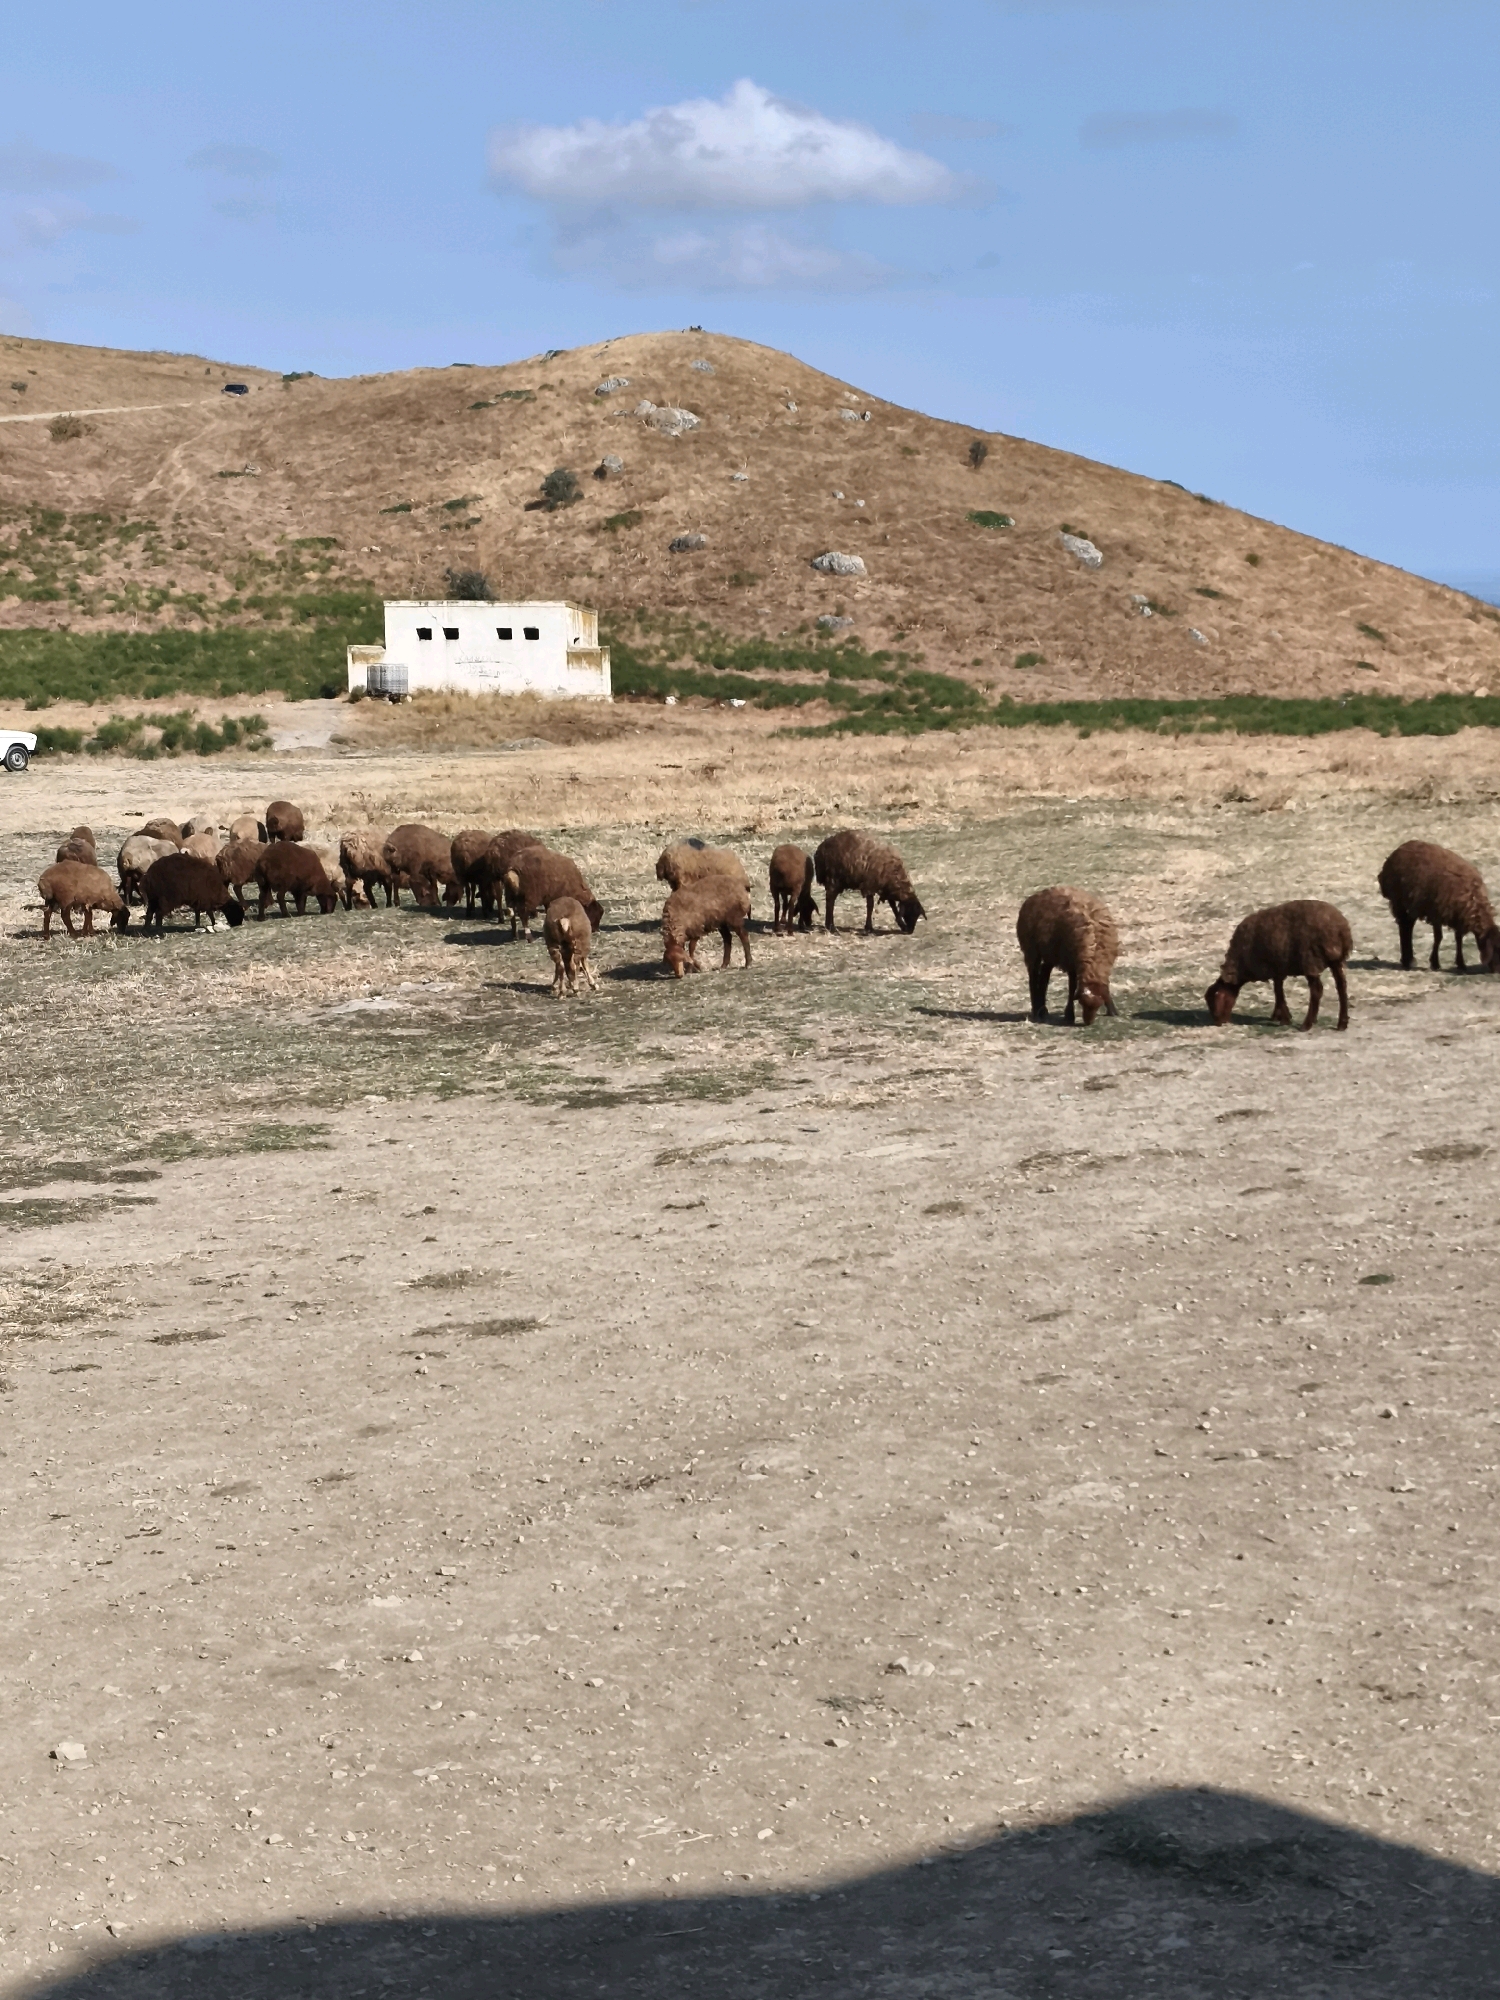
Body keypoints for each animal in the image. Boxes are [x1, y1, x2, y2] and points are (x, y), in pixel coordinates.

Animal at [1017, 887, 1120, 1027]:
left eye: (1098, 1005)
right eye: (1081, 1002)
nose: (1088, 1022)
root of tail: (1036, 895)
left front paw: (1112, 1010)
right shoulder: (1072, 963)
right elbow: (1072, 988)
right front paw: (1069, 1015)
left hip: (1050, 953)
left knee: (1044, 975)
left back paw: (1043, 1011)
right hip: (1031, 950)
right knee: (1033, 977)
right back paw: (1036, 1010)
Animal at [1206, 900, 1353, 1032]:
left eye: (1216, 998)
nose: (1219, 1023)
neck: (1240, 963)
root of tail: (1340, 928)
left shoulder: (1273, 966)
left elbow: (1278, 991)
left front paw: (1283, 1018)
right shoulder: (1278, 967)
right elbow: (1278, 989)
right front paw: (1280, 1015)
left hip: (1311, 959)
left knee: (1317, 990)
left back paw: (1306, 1025)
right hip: (1335, 960)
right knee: (1341, 986)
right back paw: (1342, 1023)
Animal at [1377, 840, 1500, 973]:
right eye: (1495, 948)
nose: (1496, 970)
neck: (1472, 897)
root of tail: (1401, 847)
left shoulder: (1458, 916)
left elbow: (1458, 938)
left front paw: (1461, 963)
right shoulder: (1436, 913)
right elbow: (1438, 937)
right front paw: (1435, 963)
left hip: (1411, 904)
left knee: (1408, 926)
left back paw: (1409, 959)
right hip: (1398, 901)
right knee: (1403, 928)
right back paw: (1406, 961)